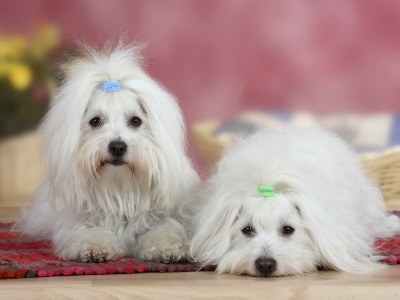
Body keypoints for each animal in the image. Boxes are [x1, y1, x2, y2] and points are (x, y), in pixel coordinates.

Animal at [15, 42, 200, 262]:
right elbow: (89, 233)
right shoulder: (77, 224)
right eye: (95, 121)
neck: (120, 190)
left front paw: (167, 248)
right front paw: (96, 248)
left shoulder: (166, 215)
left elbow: (168, 229)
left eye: (135, 121)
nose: (118, 147)